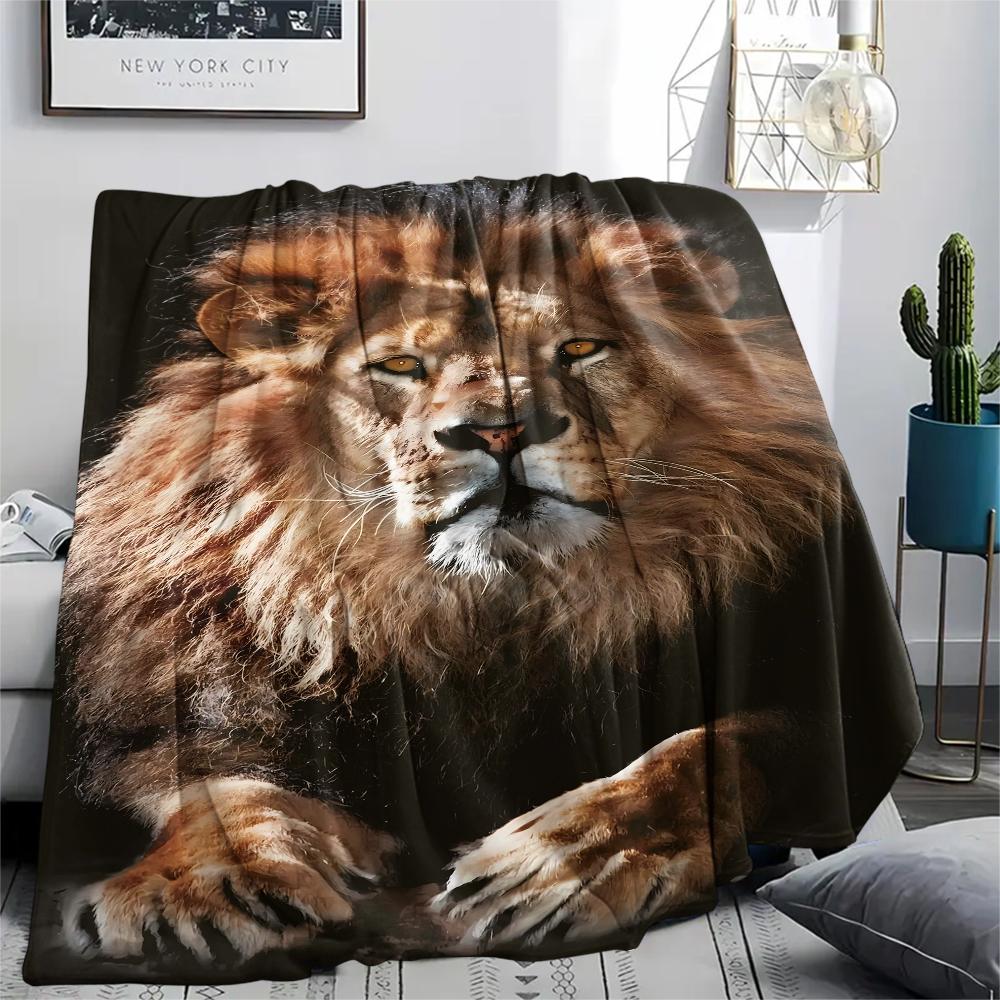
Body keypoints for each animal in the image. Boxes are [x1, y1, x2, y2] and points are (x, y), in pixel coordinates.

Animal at [58, 183, 843, 967]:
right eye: (402, 367)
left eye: (580, 349)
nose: (500, 429)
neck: (485, 608)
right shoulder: (182, 712)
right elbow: (216, 786)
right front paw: (203, 883)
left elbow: (703, 751)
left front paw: (565, 861)